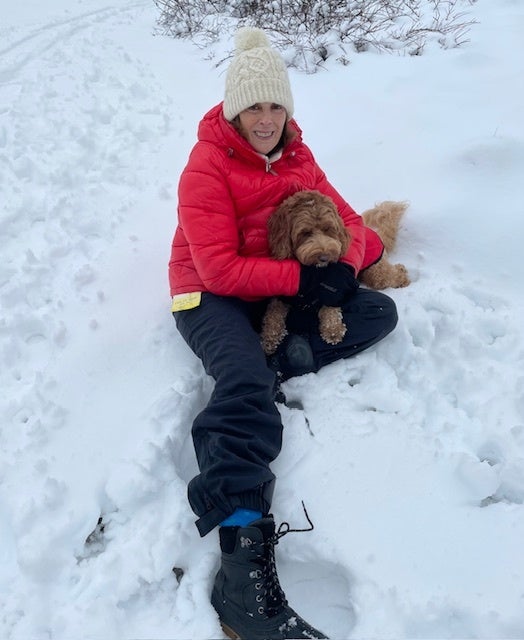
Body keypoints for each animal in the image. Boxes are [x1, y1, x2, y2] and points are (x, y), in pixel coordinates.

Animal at [262, 190, 410, 360]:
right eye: (305, 232)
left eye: (328, 229)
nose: (325, 256)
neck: (316, 273)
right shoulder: (281, 295)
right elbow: (273, 315)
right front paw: (269, 339)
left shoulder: (337, 283)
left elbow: (331, 304)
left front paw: (333, 329)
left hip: (375, 271)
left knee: (390, 275)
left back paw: (403, 275)